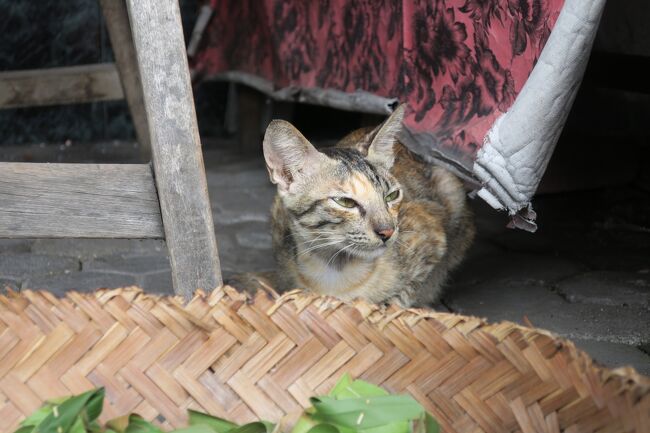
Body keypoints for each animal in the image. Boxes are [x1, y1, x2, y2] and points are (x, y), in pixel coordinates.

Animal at [262, 105, 470, 308]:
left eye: (392, 195)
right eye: (345, 202)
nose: (387, 231)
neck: (334, 271)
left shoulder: (434, 239)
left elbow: (405, 295)